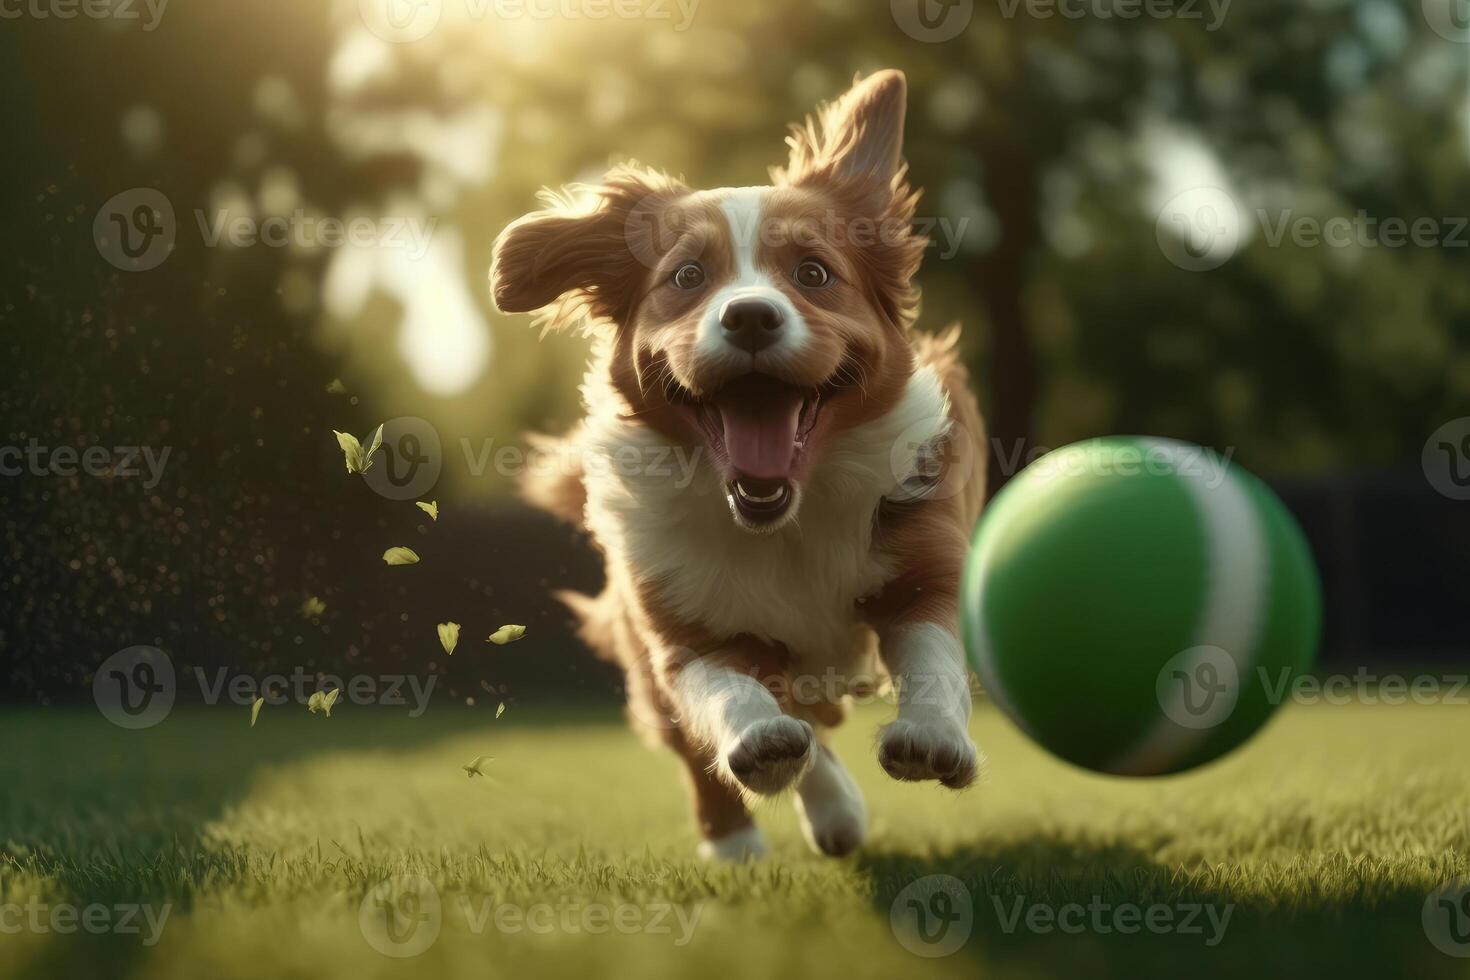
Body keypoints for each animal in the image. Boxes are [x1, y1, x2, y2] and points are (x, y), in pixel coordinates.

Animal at [490, 69, 987, 863]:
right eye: (687, 276)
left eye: (814, 272)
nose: (750, 315)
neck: (782, 521)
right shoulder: (677, 620)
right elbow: (724, 692)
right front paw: (759, 746)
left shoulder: (922, 564)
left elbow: (933, 655)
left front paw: (932, 738)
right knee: (726, 741)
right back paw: (746, 835)